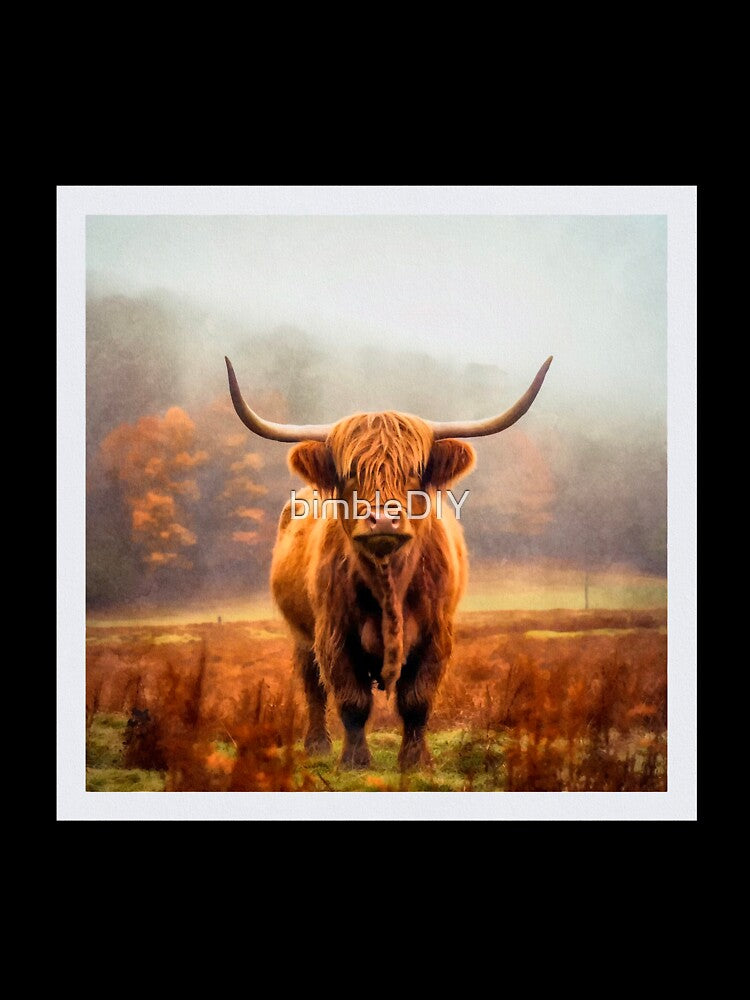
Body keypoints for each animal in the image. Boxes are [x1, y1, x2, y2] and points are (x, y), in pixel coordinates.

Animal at [225, 355, 552, 770]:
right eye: (351, 472)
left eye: (414, 471)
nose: (382, 519)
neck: (388, 583)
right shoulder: (334, 634)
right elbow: (352, 701)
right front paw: (354, 761)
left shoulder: (436, 635)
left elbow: (416, 700)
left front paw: (415, 761)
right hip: (301, 633)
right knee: (312, 686)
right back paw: (317, 745)